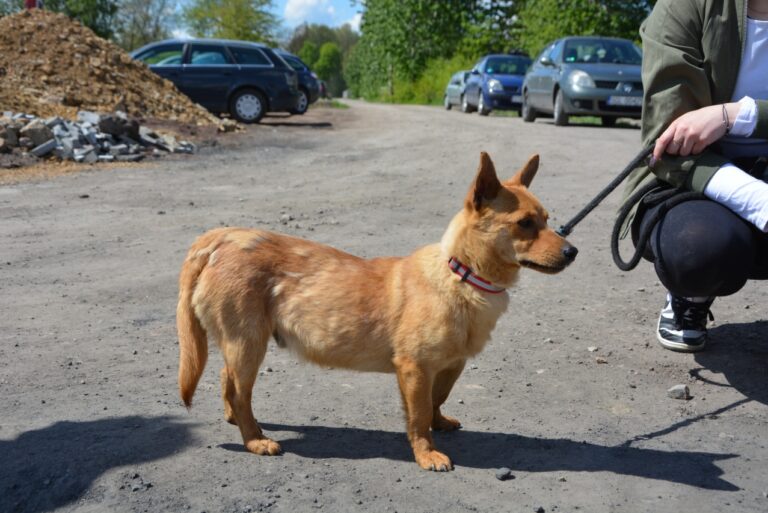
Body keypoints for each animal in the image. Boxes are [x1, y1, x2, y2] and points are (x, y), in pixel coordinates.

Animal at [177, 151, 572, 468]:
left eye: (548, 219)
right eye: (524, 223)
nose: (573, 251)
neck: (462, 275)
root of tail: (220, 238)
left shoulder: (451, 365)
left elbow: (436, 399)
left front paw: (440, 423)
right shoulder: (415, 368)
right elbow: (418, 416)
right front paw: (426, 453)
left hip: (242, 346)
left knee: (227, 381)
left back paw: (238, 422)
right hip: (248, 345)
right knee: (239, 393)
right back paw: (255, 439)